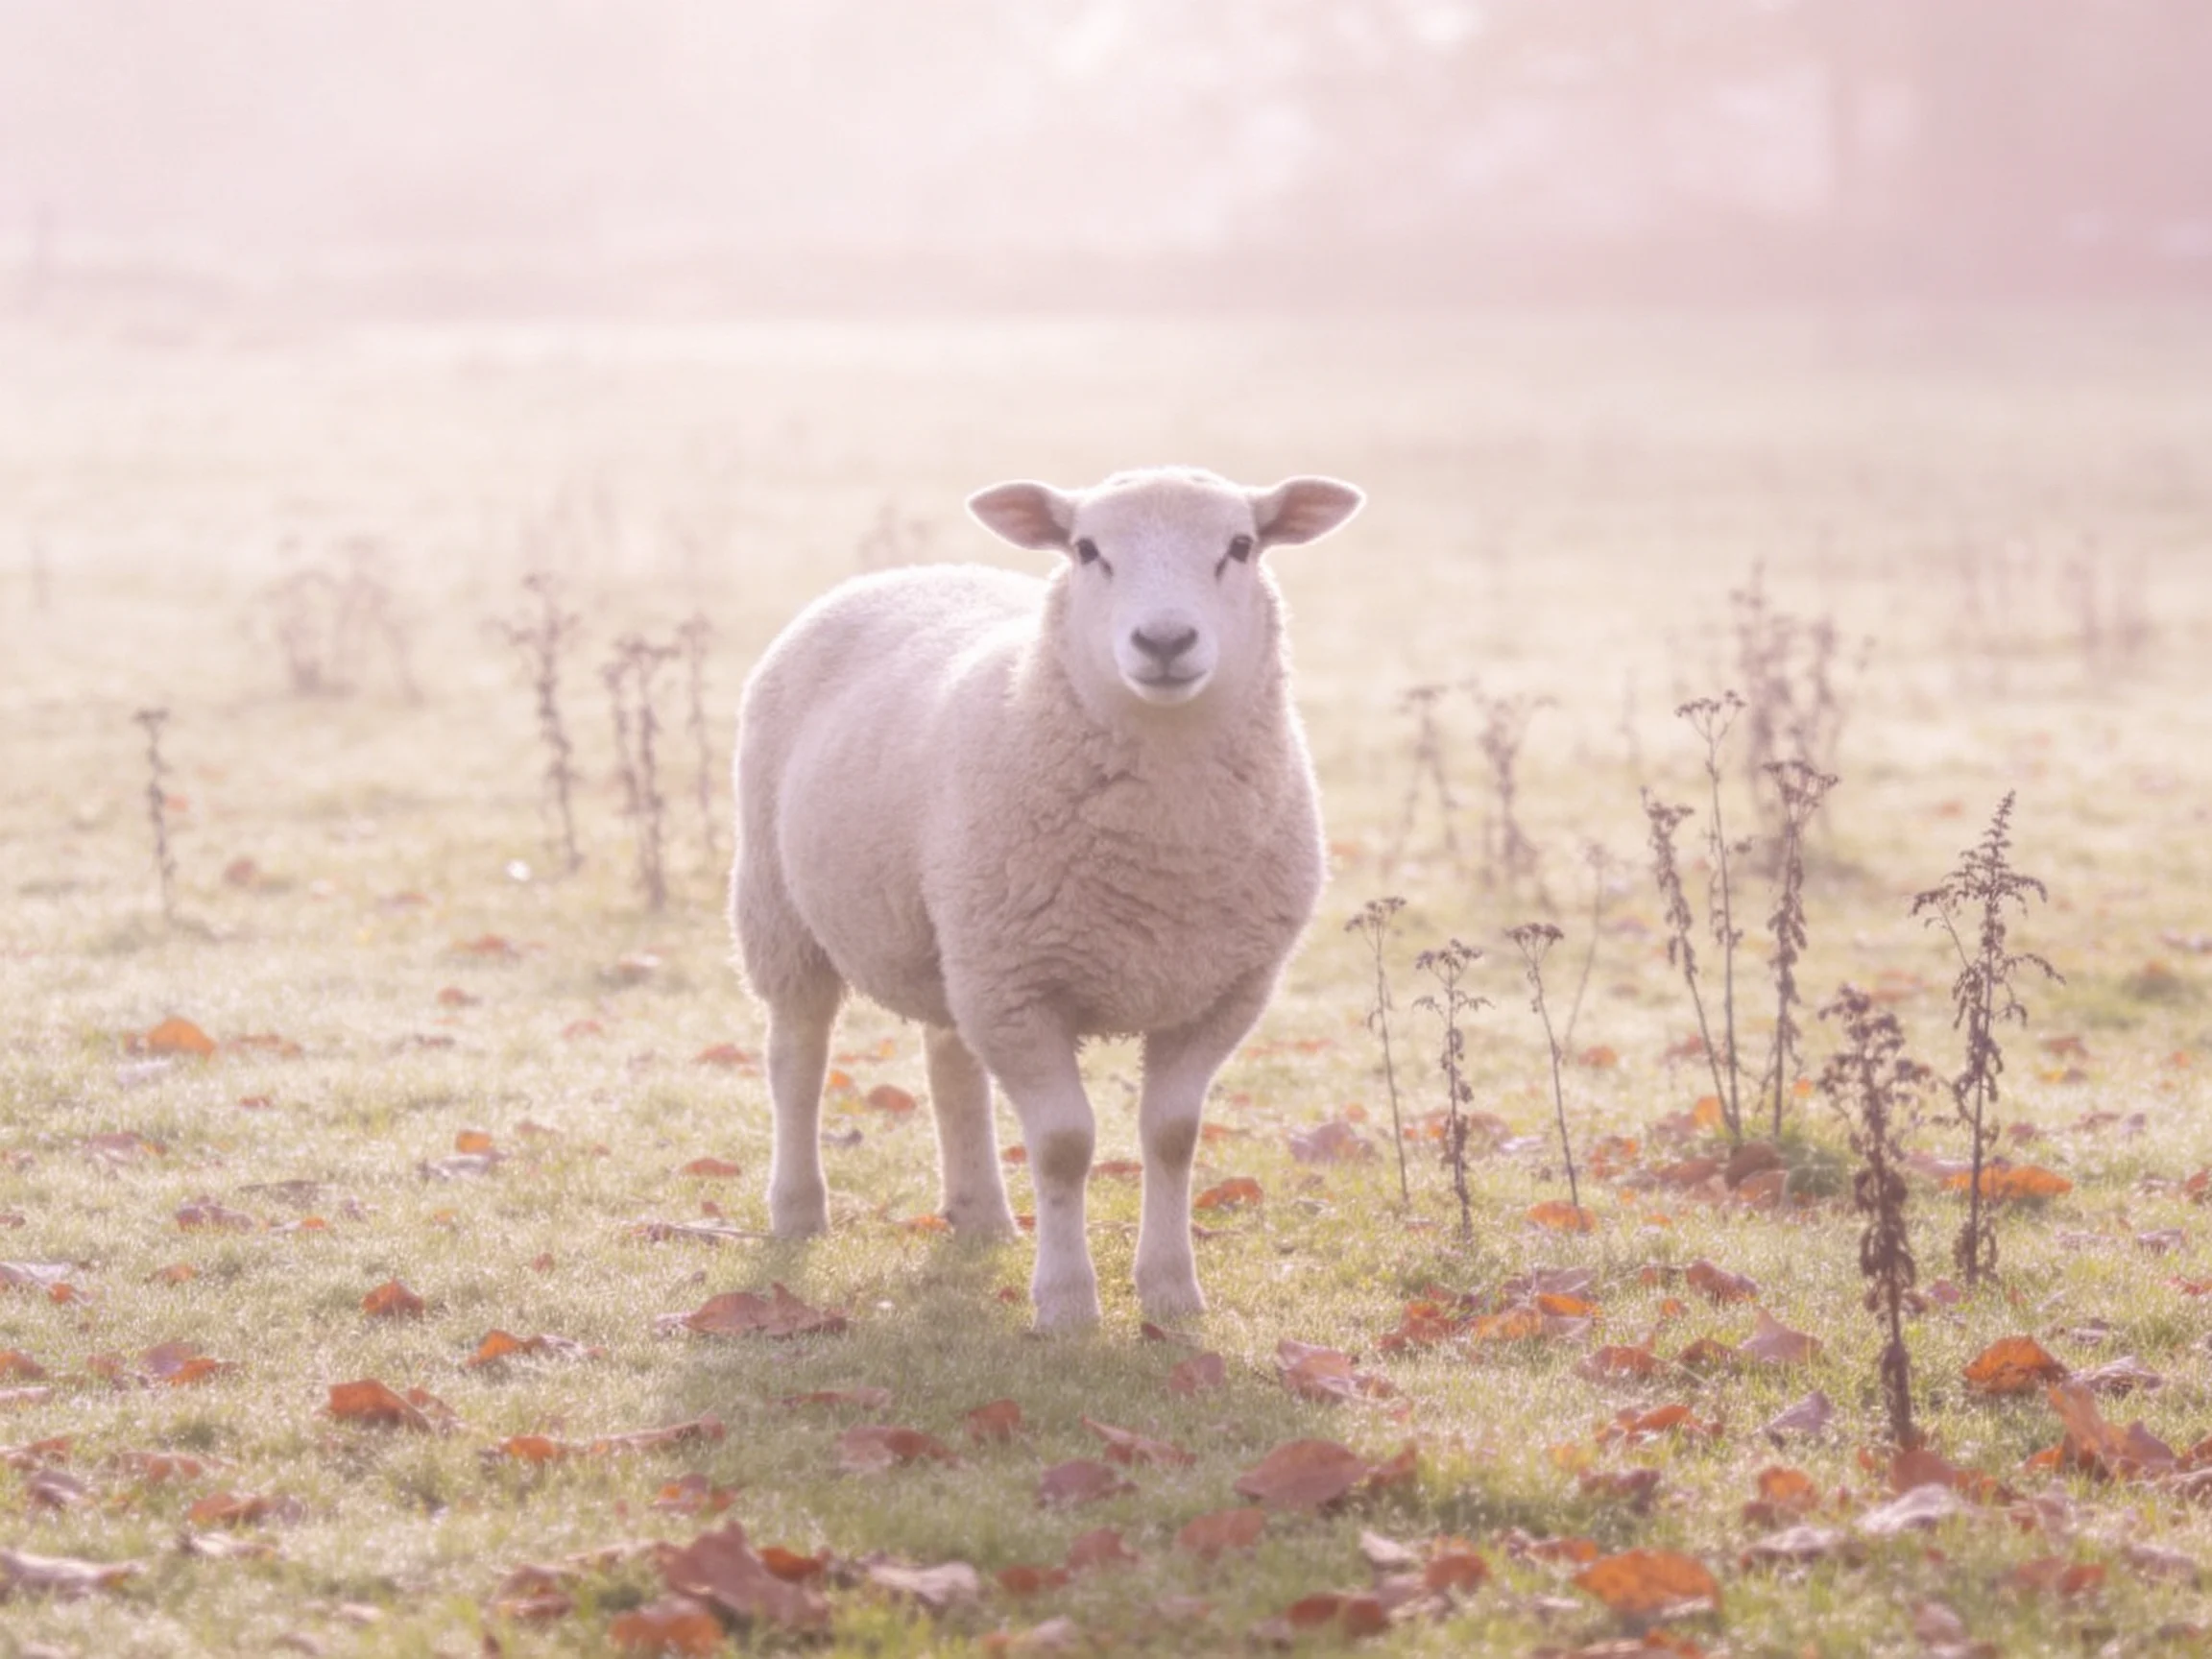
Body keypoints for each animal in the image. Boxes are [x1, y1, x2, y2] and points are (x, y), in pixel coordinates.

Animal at [730, 466, 1364, 1330]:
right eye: (1087, 549)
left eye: (1240, 546)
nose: (1164, 642)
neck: (1165, 846)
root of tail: (907, 571)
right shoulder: (1021, 987)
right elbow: (1065, 1145)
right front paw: (1066, 1303)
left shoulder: (1223, 991)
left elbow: (1173, 1135)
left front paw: (1171, 1292)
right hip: (784, 909)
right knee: (798, 1055)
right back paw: (798, 1210)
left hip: (957, 934)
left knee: (950, 1062)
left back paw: (982, 1214)